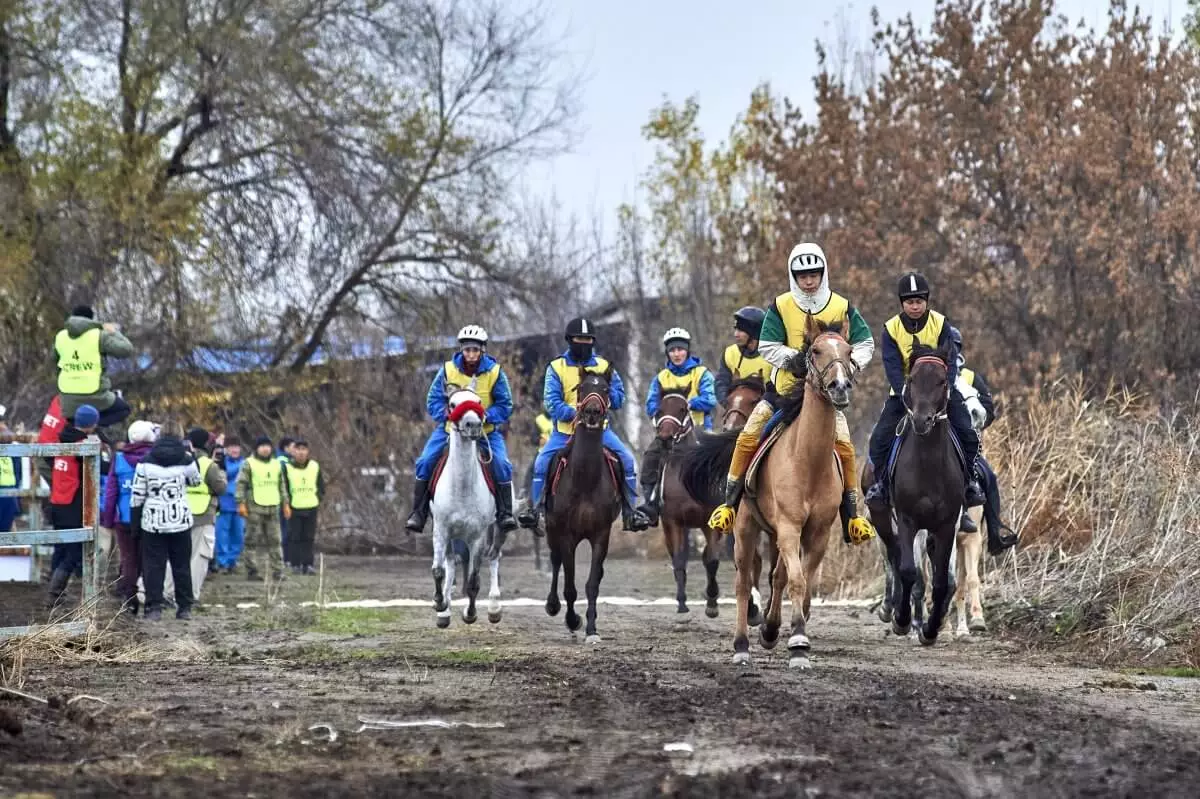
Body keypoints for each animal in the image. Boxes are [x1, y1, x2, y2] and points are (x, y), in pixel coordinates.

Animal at [429, 386, 504, 628]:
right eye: (452, 404)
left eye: (478, 402)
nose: (473, 425)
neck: (462, 486)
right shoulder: (441, 529)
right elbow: (439, 570)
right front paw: (440, 604)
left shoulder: (477, 536)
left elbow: (473, 580)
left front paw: (470, 614)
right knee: (451, 563)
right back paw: (444, 611)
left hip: (497, 529)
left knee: (494, 556)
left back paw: (494, 607)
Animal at [542, 367, 619, 643]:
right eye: (582, 388)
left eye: (605, 389)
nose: (593, 412)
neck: (585, 478)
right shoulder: (567, 534)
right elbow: (570, 586)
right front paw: (572, 620)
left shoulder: (601, 534)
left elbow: (592, 584)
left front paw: (592, 629)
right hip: (552, 529)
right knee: (555, 562)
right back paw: (552, 605)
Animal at [686, 311, 854, 667]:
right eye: (815, 351)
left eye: (848, 352)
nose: (840, 387)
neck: (808, 460)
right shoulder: (789, 526)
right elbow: (796, 580)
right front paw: (796, 641)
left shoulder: (817, 533)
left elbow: (802, 581)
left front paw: (786, 631)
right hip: (746, 528)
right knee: (742, 581)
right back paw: (741, 645)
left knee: (775, 576)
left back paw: (769, 628)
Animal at [864, 338, 964, 643]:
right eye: (911, 379)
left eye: (942, 380)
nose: (921, 420)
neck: (928, 464)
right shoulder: (908, 520)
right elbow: (909, 571)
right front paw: (903, 620)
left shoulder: (946, 525)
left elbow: (942, 581)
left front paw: (931, 629)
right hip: (883, 518)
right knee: (894, 556)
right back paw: (891, 609)